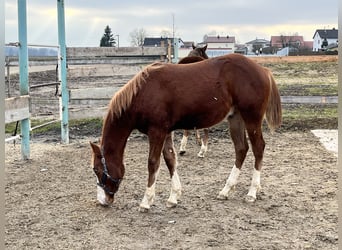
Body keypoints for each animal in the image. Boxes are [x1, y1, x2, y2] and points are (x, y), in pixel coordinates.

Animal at [89, 53, 282, 212]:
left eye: (97, 169)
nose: (102, 201)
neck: (143, 93)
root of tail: (263, 70)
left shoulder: (157, 131)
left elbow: (153, 163)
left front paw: (146, 201)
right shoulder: (165, 132)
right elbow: (170, 159)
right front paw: (173, 197)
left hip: (252, 119)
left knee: (258, 148)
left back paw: (252, 192)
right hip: (235, 118)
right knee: (241, 149)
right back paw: (226, 190)